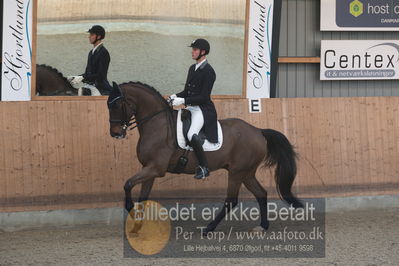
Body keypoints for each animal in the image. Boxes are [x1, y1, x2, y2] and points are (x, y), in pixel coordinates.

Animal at [107, 81, 304, 233]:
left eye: (115, 105)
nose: (115, 134)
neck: (157, 125)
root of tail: (258, 131)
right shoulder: (149, 169)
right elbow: (142, 197)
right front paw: (137, 226)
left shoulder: (155, 169)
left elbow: (127, 185)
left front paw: (131, 211)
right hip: (246, 173)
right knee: (261, 194)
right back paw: (262, 226)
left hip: (237, 172)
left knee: (231, 201)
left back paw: (209, 228)